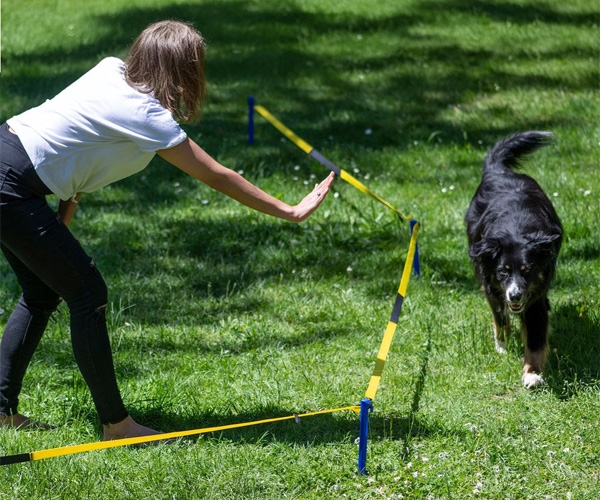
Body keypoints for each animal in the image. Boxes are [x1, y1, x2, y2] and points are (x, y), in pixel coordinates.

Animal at [465, 131, 563, 389]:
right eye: (503, 271)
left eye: (527, 270)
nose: (516, 295)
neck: (516, 227)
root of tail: (498, 171)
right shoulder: (492, 284)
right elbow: (500, 316)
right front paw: (502, 346)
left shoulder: (535, 294)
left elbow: (536, 339)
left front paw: (532, 374)